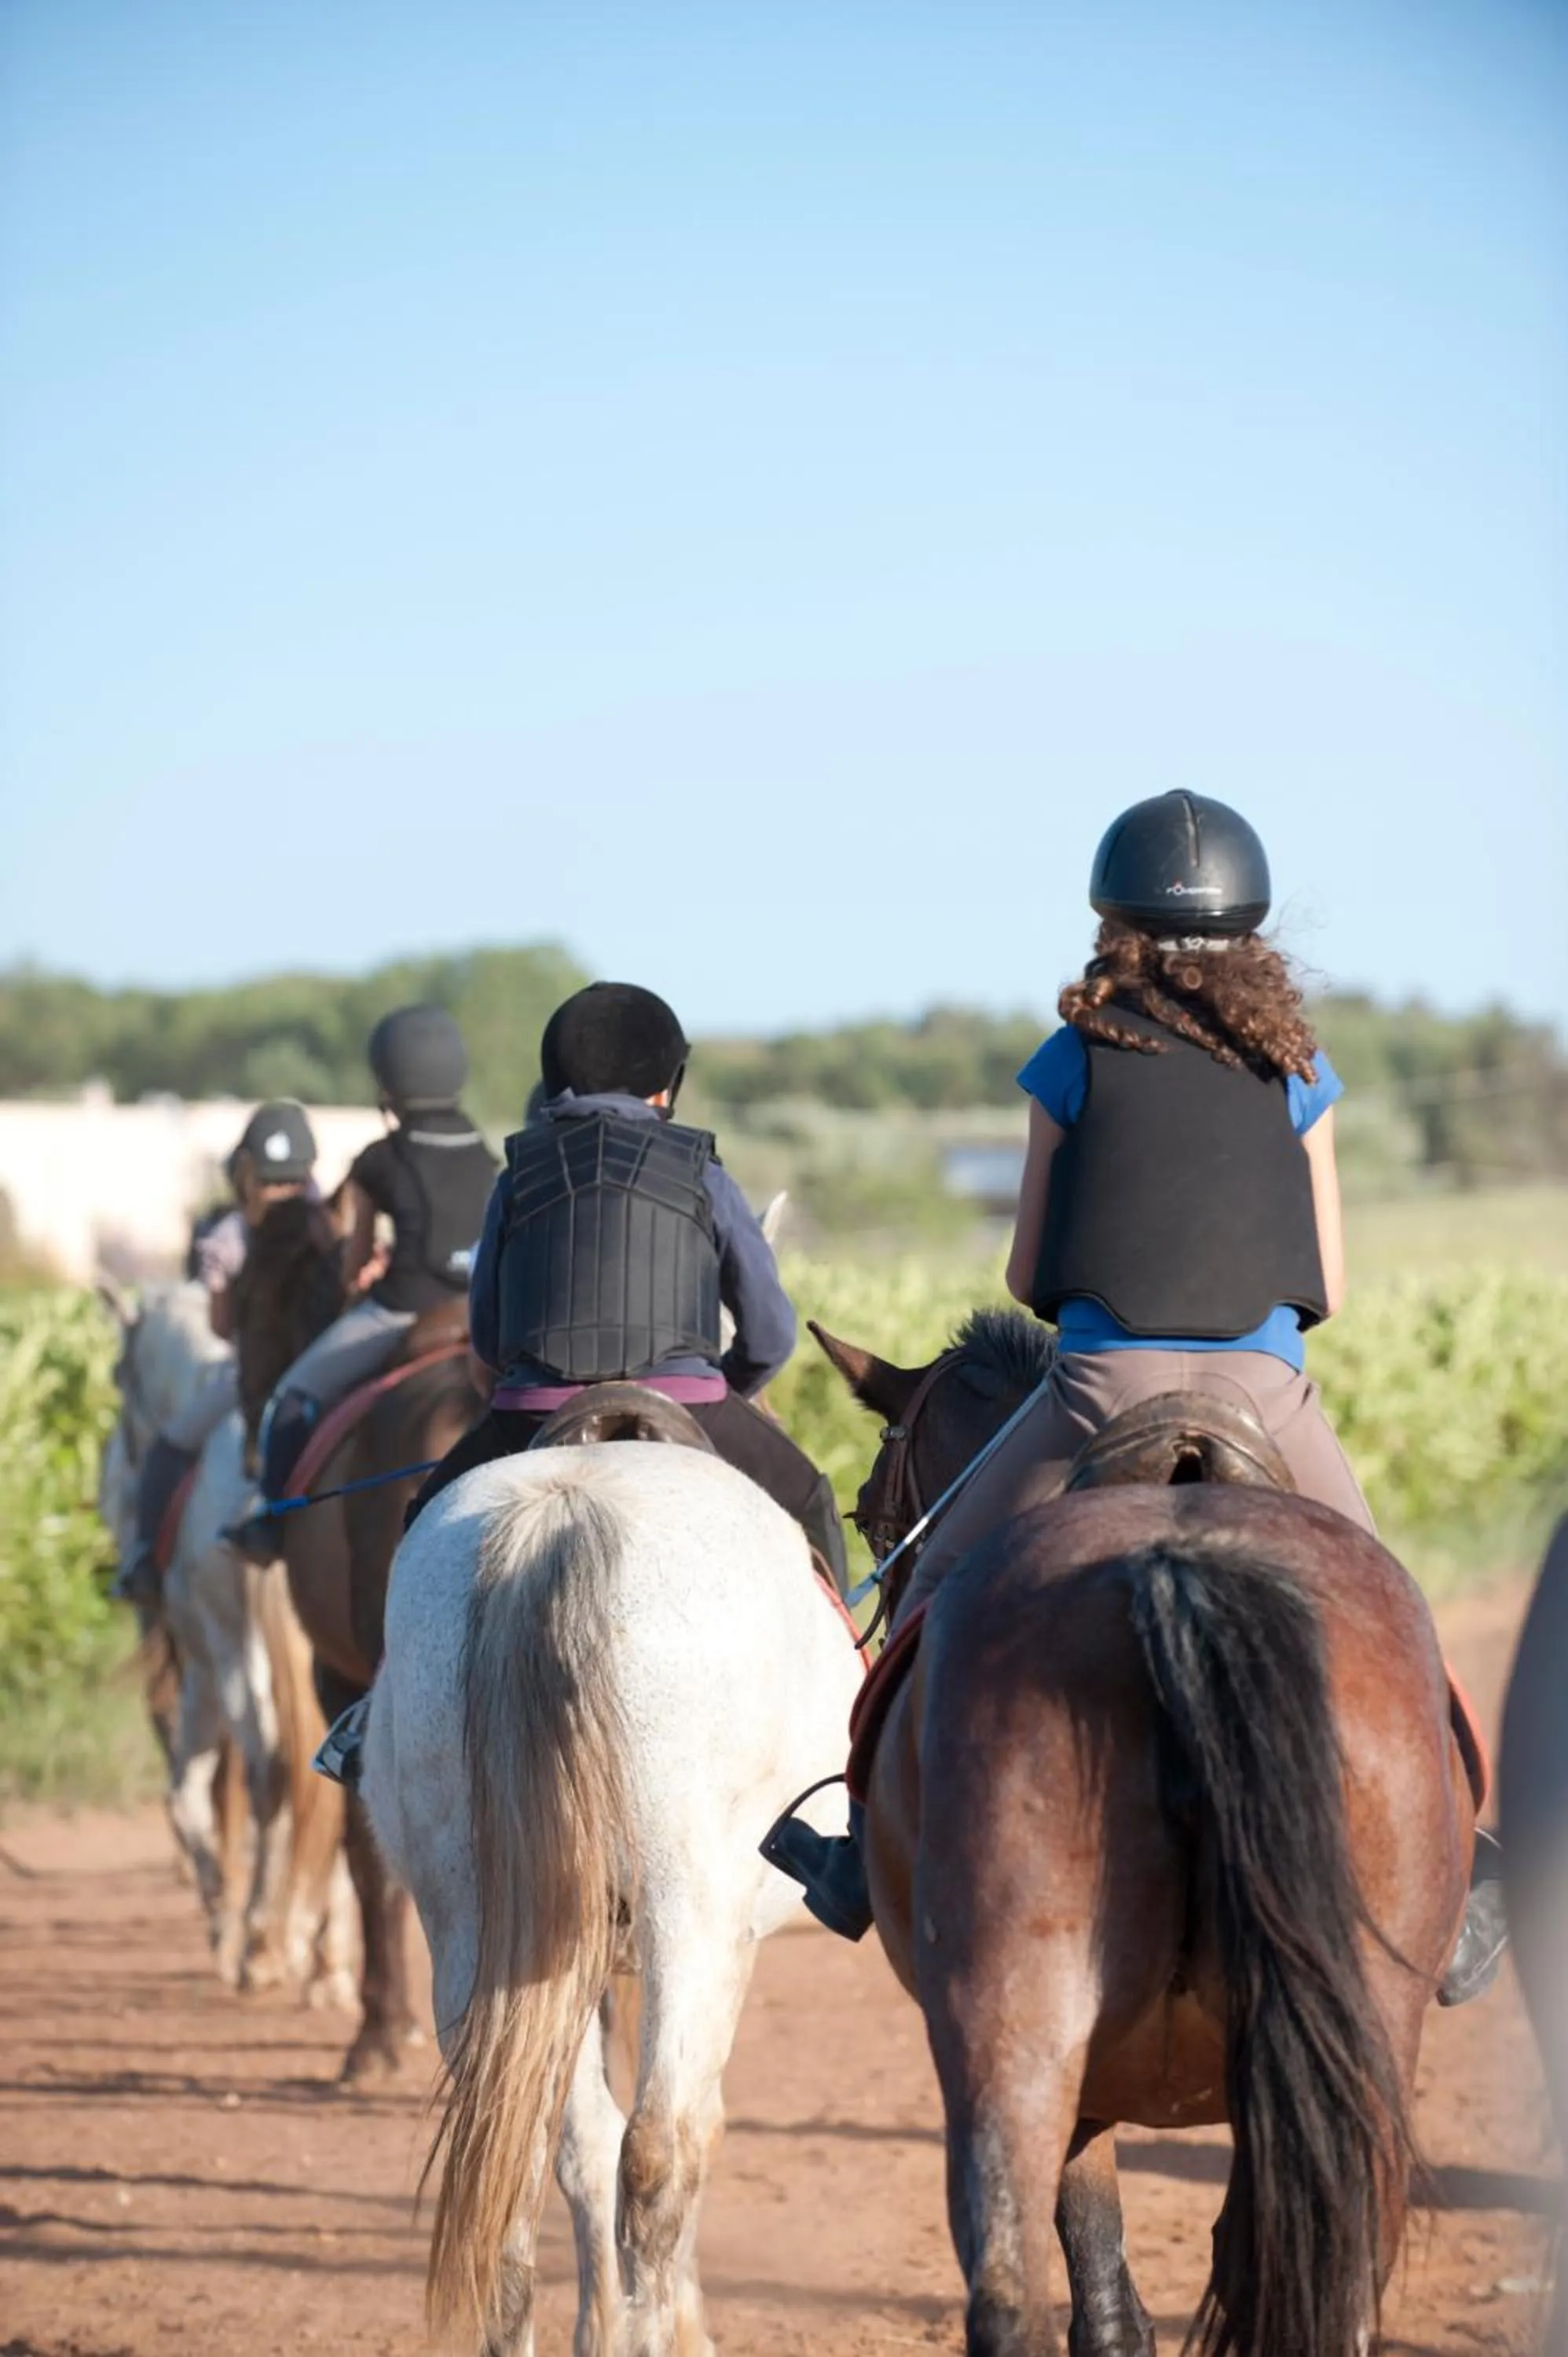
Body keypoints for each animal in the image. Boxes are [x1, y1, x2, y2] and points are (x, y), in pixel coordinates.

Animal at [360, 1408, 865, 2357]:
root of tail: (557, 1516)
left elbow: (581, 2149)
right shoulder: (726, 1941)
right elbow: (697, 2132)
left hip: (478, 1929)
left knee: (519, 2155)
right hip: (686, 1915)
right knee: (660, 2149)